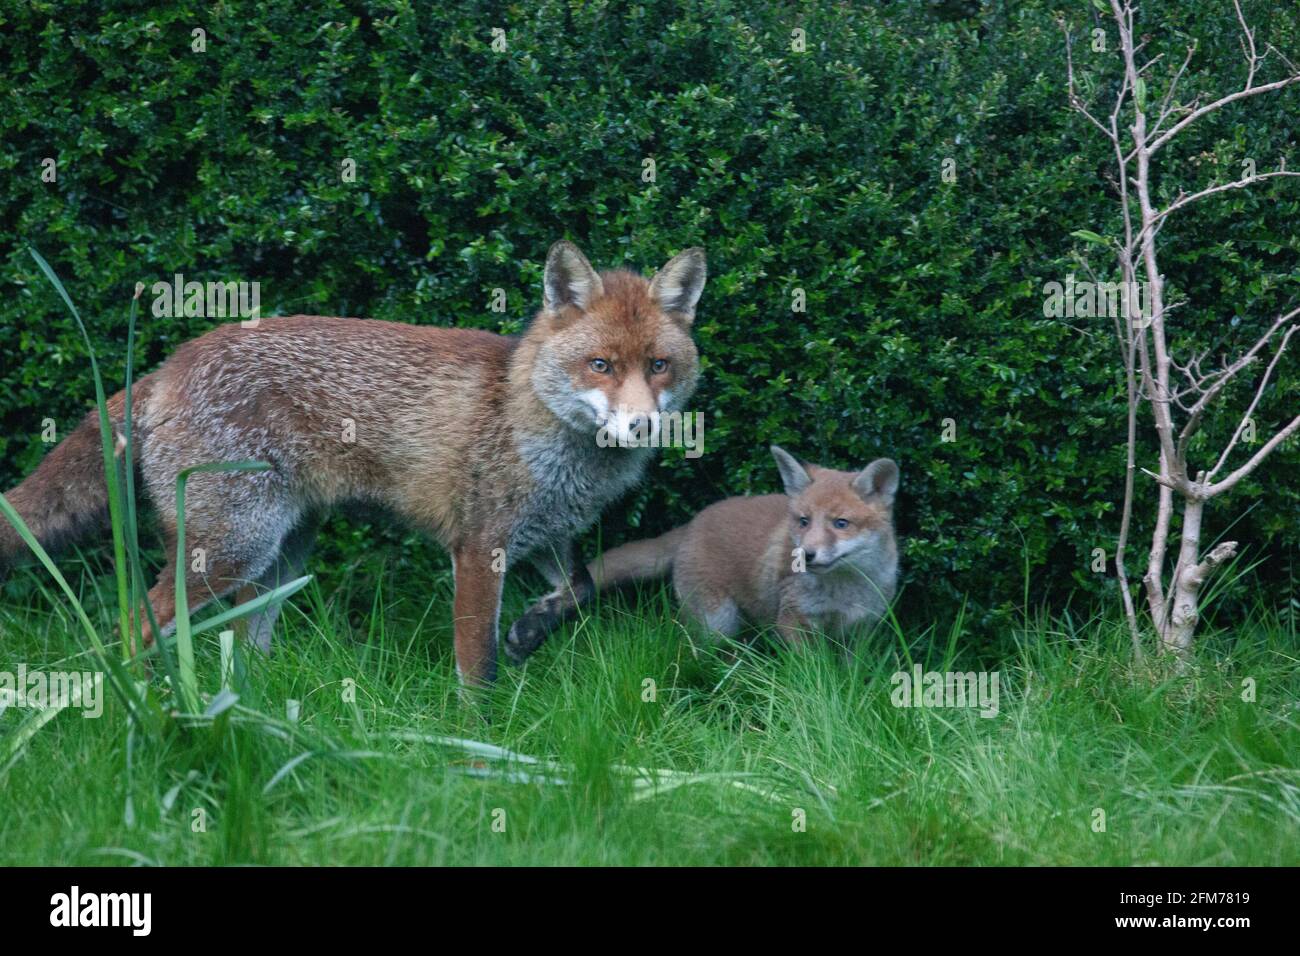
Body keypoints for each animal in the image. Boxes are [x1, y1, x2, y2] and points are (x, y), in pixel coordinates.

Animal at [0, 241, 707, 686]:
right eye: (600, 365)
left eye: (658, 366)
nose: (642, 422)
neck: (527, 411)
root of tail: (168, 366)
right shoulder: (479, 546)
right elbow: (476, 670)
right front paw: (480, 748)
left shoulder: (547, 535)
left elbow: (581, 592)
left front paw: (531, 631)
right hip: (230, 552)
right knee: (132, 626)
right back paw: (148, 706)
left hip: (279, 559)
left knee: (243, 651)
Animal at [575, 446, 899, 649]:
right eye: (804, 521)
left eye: (841, 523)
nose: (806, 555)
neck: (845, 589)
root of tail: (694, 521)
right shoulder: (792, 620)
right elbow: (811, 674)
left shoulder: (860, 628)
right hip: (717, 624)